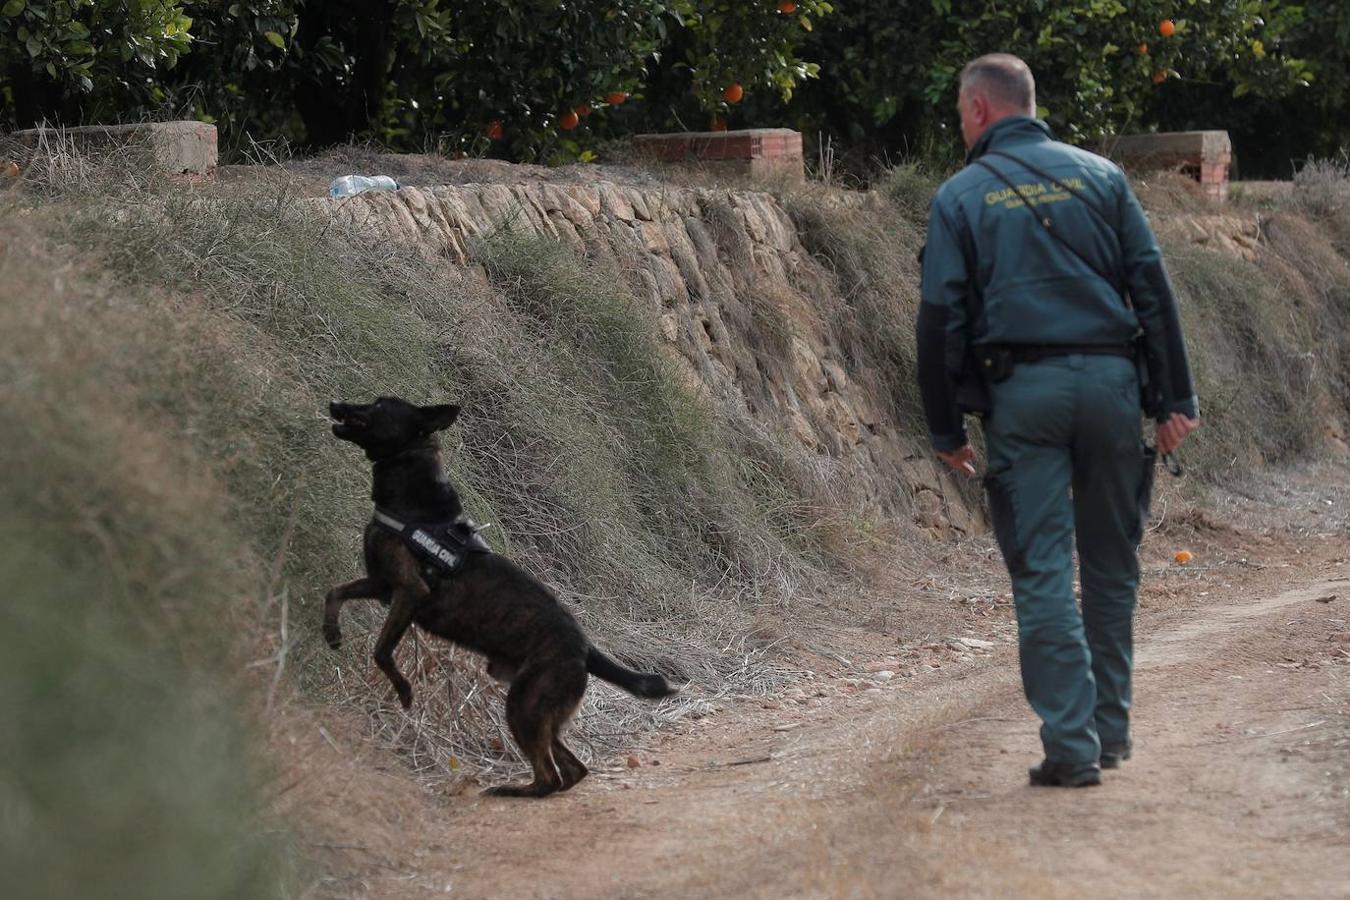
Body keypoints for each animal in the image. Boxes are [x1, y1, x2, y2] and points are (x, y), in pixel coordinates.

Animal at [322, 396, 680, 798]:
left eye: (380, 405)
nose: (336, 402)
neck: (412, 500)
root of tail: (585, 649)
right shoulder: (382, 585)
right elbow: (334, 593)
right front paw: (331, 632)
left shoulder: (409, 592)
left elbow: (381, 651)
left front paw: (403, 691)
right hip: (536, 710)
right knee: (573, 769)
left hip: (524, 704)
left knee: (550, 776)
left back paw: (512, 790)